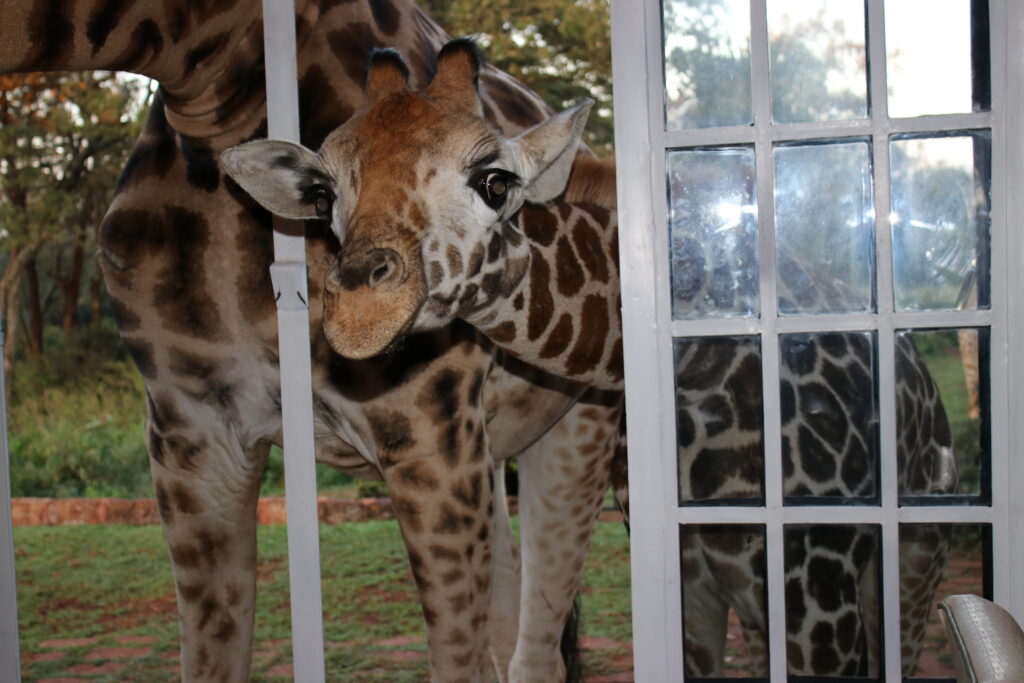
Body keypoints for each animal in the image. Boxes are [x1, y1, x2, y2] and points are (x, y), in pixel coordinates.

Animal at [2, 2, 622, 679]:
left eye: (495, 181)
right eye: (322, 195)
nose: (356, 312)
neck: (208, 86)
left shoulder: (431, 434)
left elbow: (461, 663)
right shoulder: (190, 435)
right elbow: (210, 657)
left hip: (575, 427)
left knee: (537, 649)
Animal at [224, 41, 958, 679]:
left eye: (495, 181)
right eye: (323, 195)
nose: (358, 309)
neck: (699, 370)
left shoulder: (816, 580)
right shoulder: (693, 577)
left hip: (913, 559)